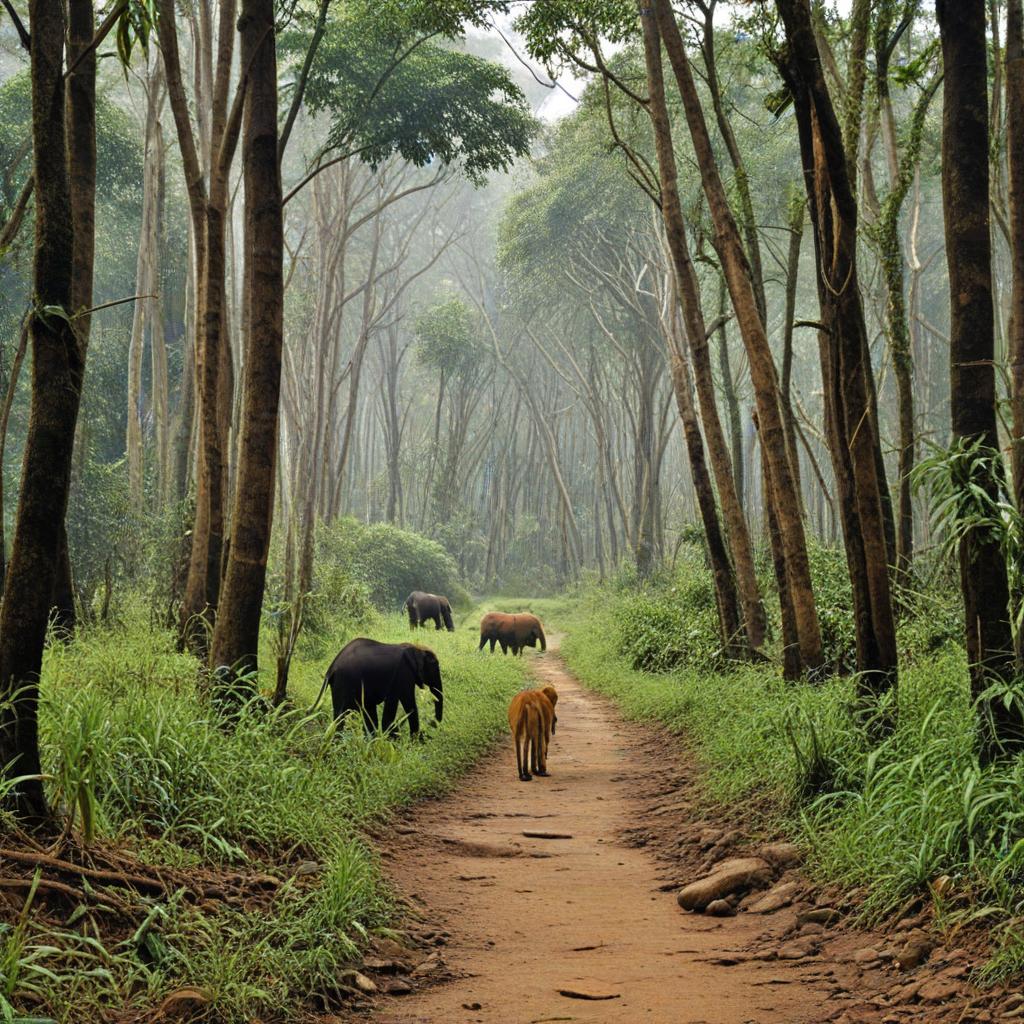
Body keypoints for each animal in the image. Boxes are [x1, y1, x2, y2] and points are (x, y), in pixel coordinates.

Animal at [309, 634, 442, 741]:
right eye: (435, 667)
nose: (432, 723)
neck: (416, 648)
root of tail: (331, 668)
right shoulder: (403, 674)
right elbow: (407, 703)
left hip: (339, 683)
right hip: (345, 681)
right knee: (341, 715)